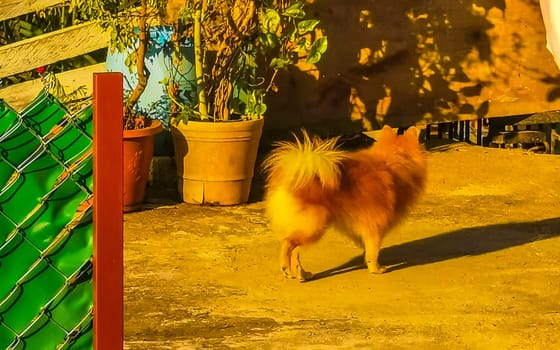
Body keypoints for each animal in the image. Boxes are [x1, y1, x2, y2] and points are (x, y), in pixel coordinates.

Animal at [264, 126, 426, 282]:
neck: (394, 161)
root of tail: (294, 175)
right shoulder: (375, 228)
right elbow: (373, 252)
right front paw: (376, 269)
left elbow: (366, 248)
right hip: (314, 226)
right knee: (291, 246)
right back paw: (293, 271)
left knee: (291, 248)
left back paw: (295, 272)